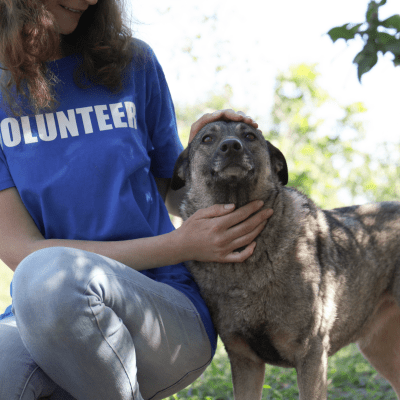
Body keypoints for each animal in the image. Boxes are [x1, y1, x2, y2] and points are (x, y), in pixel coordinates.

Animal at [170, 121, 400, 400]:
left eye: (250, 136)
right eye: (207, 139)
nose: (232, 146)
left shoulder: (311, 357)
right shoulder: (245, 361)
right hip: (381, 350)